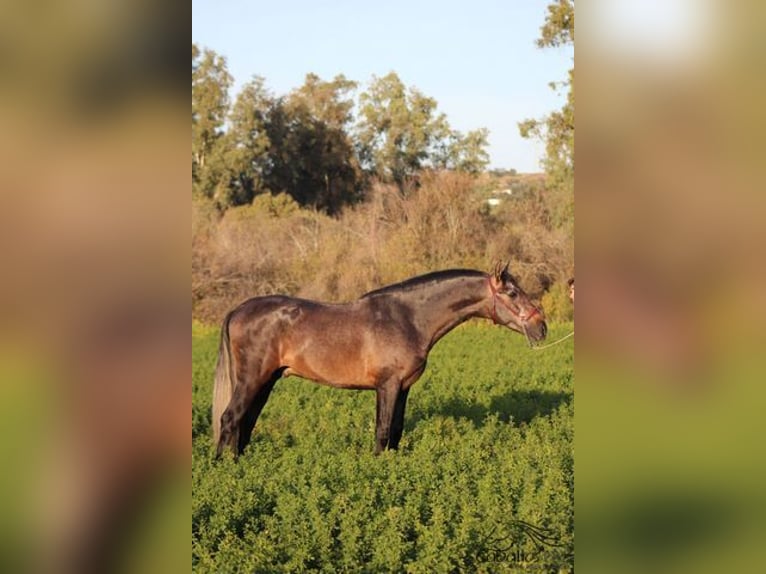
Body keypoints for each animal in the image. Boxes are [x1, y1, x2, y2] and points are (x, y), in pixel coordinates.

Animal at [212, 264, 544, 460]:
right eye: (512, 292)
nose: (542, 327)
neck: (408, 318)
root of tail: (237, 310)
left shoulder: (404, 387)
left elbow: (395, 430)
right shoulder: (388, 385)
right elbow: (383, 430)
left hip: (267, 380)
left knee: (245, 423)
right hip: (253, 379)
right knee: (230, 419)